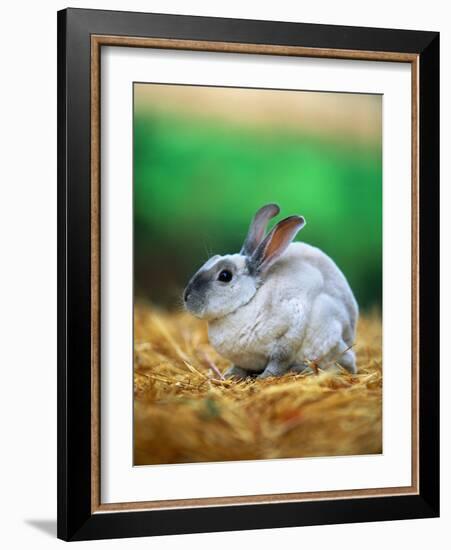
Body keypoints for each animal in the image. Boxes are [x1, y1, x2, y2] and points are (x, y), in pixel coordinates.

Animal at [184, 203, 360, 380]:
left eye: (225, 276)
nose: (186, 297)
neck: (248, 301)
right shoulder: (243, 360)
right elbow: (239, 367)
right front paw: (229, 376)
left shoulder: (290, 330)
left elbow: (279, 360)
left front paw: (264, 377)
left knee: (344, 362)